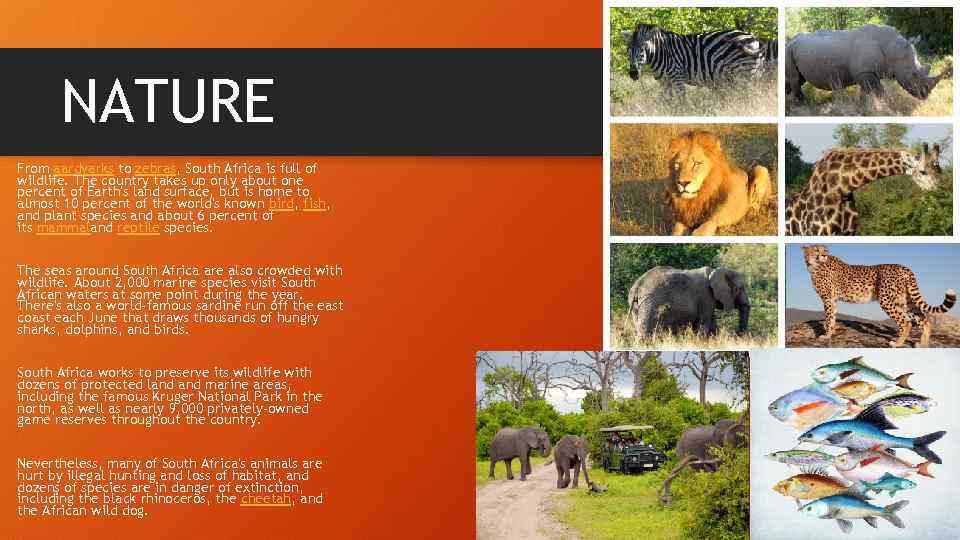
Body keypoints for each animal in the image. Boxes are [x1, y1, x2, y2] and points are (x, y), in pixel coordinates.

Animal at [620, 23, 767, 97]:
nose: (633, 74)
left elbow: (681, 102)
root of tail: (753, 37)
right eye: (628, 52)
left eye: (642, 51)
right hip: (750, 75)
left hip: (744, 75)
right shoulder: (664, 83)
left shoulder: (677, 78)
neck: (662, 53)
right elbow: (664, 103)